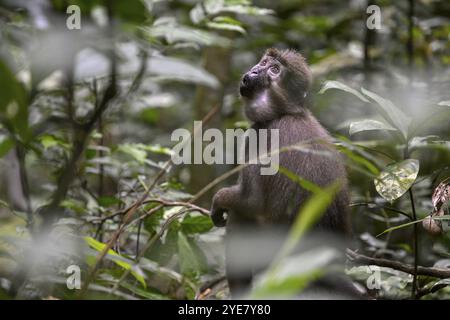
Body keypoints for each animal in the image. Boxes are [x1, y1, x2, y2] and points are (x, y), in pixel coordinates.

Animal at [209, 48, 354, 298]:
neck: (284, 112)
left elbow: (252, 201)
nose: (254, 71)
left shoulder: (257, 136)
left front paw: (219, 200)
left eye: (275, 70)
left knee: (241, 215)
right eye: (264, 62)